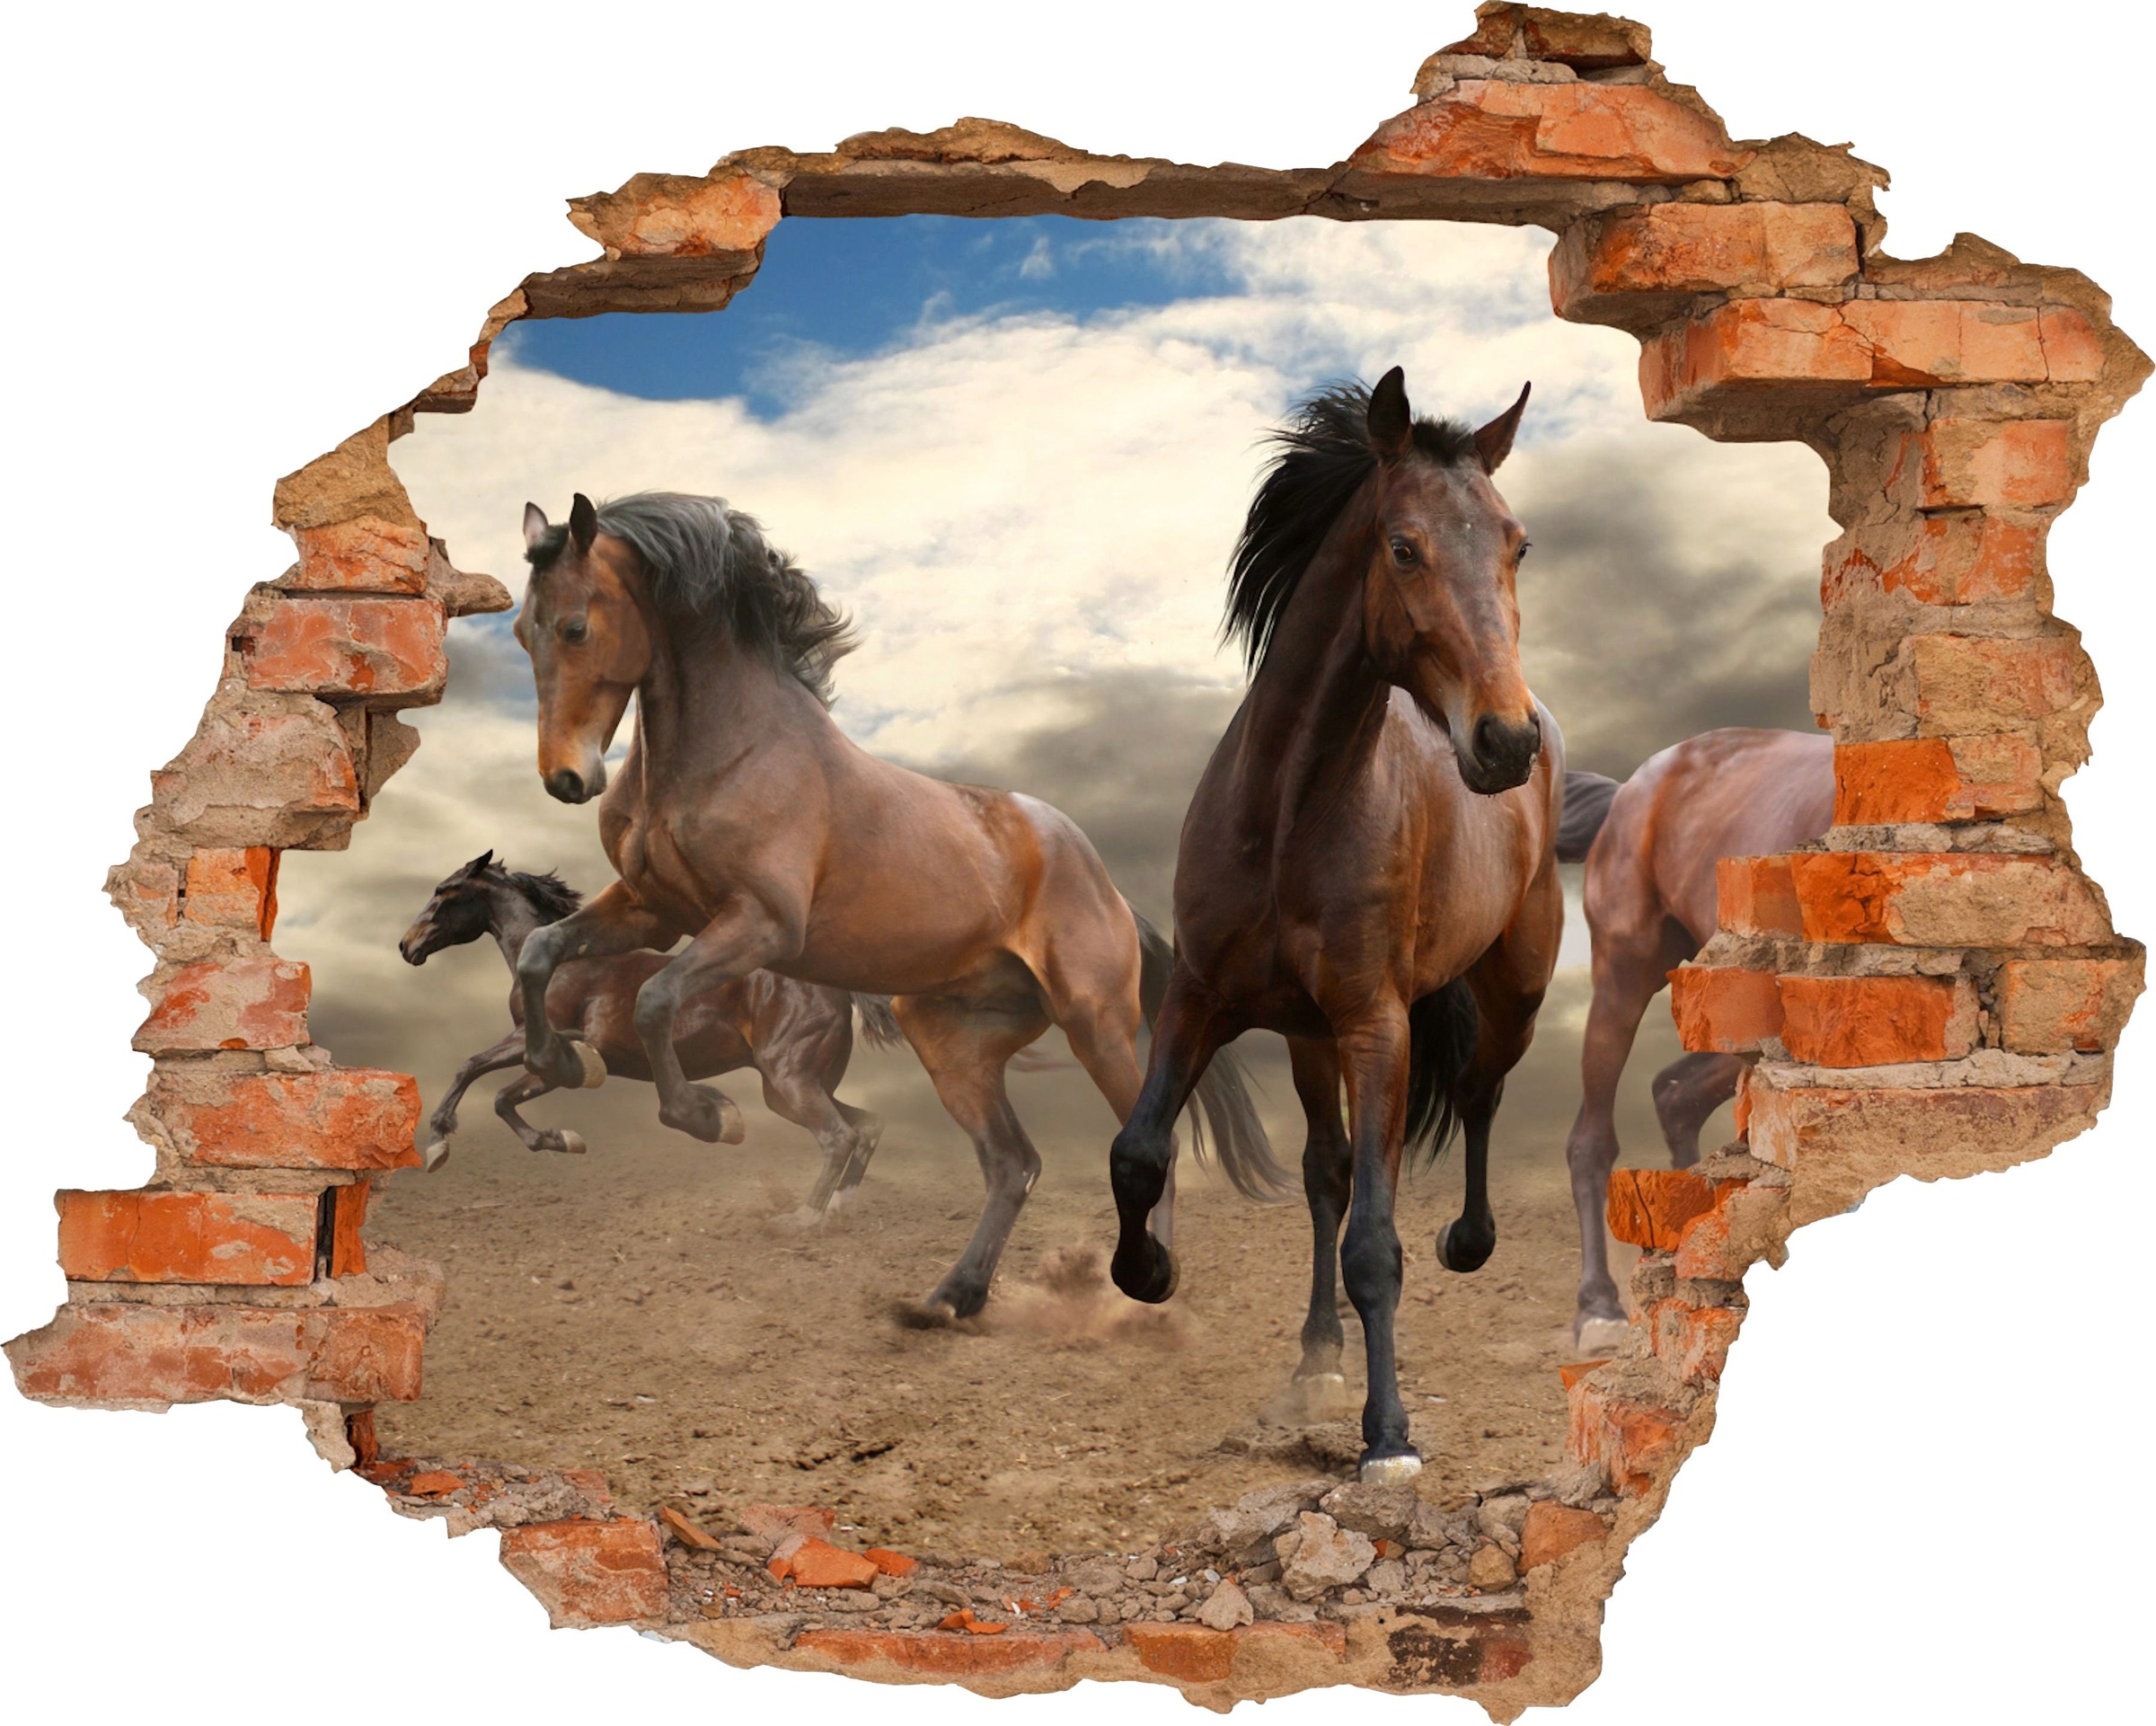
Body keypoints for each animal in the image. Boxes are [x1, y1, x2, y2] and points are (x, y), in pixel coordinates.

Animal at [398, 849, 897, 1225]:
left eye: (443, 891)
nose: (407, 945)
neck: (560, 963)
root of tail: (837, 988)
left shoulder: (534, 1039)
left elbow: (477, 1070)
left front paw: (438, 1143)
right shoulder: (550, 1057)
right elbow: (499, 1094)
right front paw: (562, 1140)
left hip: (790, 1079)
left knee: (838, 1136)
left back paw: (803, 1219)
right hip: (791, 1087)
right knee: (867, 1125)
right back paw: (840, 1207)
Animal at [508, 490, 1282, 1321]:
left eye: (576, 626)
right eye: (522, 631)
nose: (566, 778)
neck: (729, 751)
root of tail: (1108, 887)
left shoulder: (760, 925)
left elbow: (654, 998)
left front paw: (712, 1118)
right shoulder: (653, 909)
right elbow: (542, 953)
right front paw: (561, 1061)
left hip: (1095, 1025)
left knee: (1141, 1144)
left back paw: (1147, 1284)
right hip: (953, 1043)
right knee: (1013, 1162)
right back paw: (952, 1298)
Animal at [1106, 368, 1566, 1486]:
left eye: (1516, 545)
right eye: (1403, 546)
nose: (1505, 740)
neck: (1286, 812)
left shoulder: (1378, 1025)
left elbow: (1375, 1243)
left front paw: (1389, 1436)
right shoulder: (1202, 998)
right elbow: (1140, 1151)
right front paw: (1148, 1270)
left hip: (1511, 991)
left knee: (1477, 1095)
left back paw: (1467, 1244)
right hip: (1308, 1039)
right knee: (1326, 1171)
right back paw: (1316, 1357)